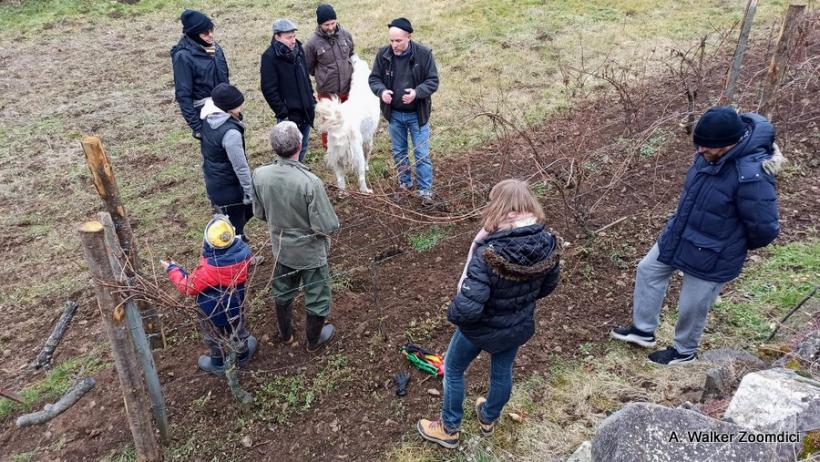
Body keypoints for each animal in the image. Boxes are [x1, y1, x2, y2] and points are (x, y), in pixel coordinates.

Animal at [316, 55, 382, 194]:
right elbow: (368, 152)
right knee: (361, 177)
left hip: (335, 156)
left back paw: (343, 193)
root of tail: (340, 123)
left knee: (340, 179)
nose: (352, 55)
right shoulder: (368, 137)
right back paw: (366, 191)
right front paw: (367, 167)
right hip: (356, 153)